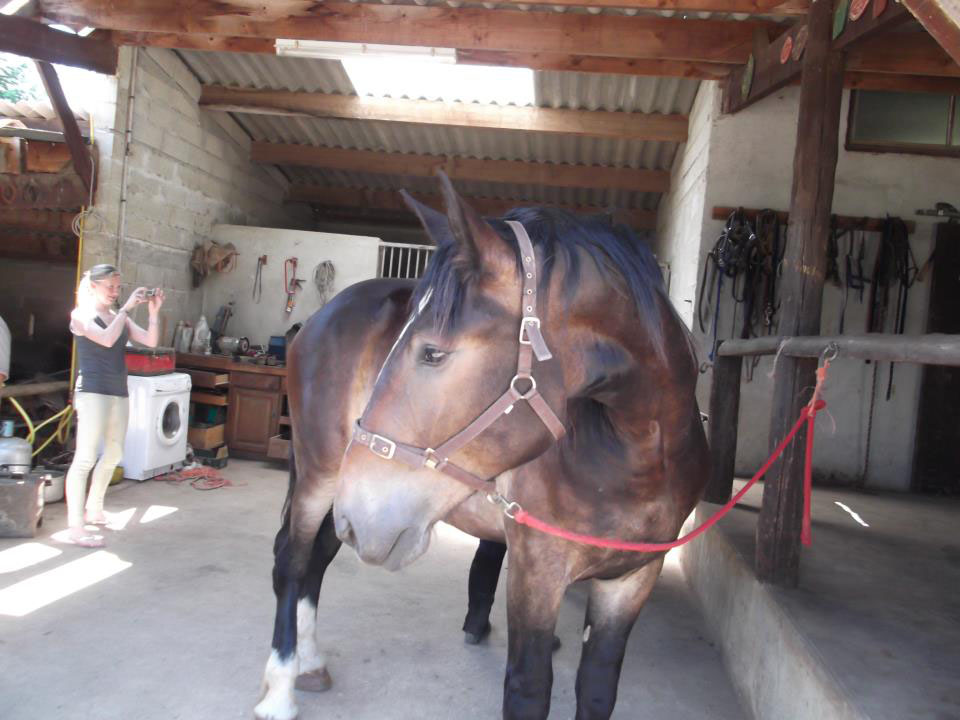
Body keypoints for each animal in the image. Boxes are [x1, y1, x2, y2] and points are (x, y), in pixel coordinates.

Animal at [255, 174, 708, 720]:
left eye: (433, 353)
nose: (361, 517)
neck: (638, 457)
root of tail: (319, 316)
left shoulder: (633, 578)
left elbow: (598, 687)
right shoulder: (536, 570)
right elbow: (529, 688)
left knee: (318, 556)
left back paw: (311, 662)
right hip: (321, 477)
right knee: (292, 560)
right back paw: (280, 690)